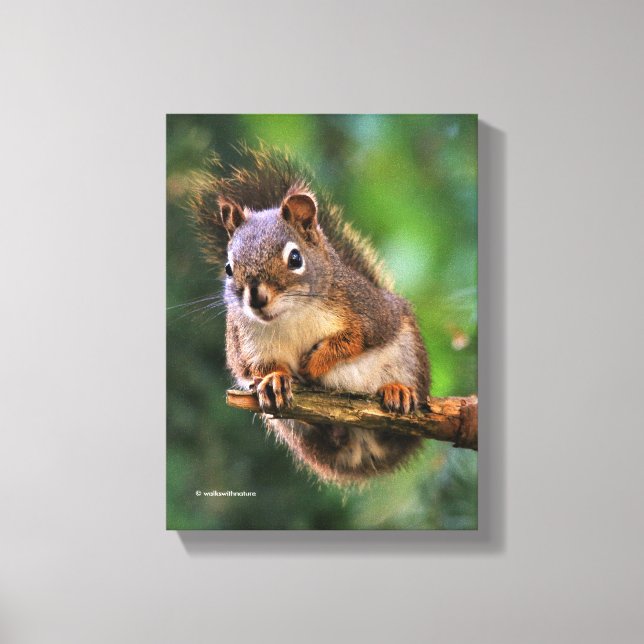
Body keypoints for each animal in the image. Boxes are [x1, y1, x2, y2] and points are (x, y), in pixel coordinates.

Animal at [190, 144, 430, 485]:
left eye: (295, 258)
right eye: (228, 268)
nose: (257, 298)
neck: (289, 317)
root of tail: (363, 451)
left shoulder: (368, 310)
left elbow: (356, 339)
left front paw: (316, 362)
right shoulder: (242, 344)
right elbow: (252, 367)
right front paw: (275, 379)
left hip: (409, 356)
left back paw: (398, 392)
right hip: (293, 428)